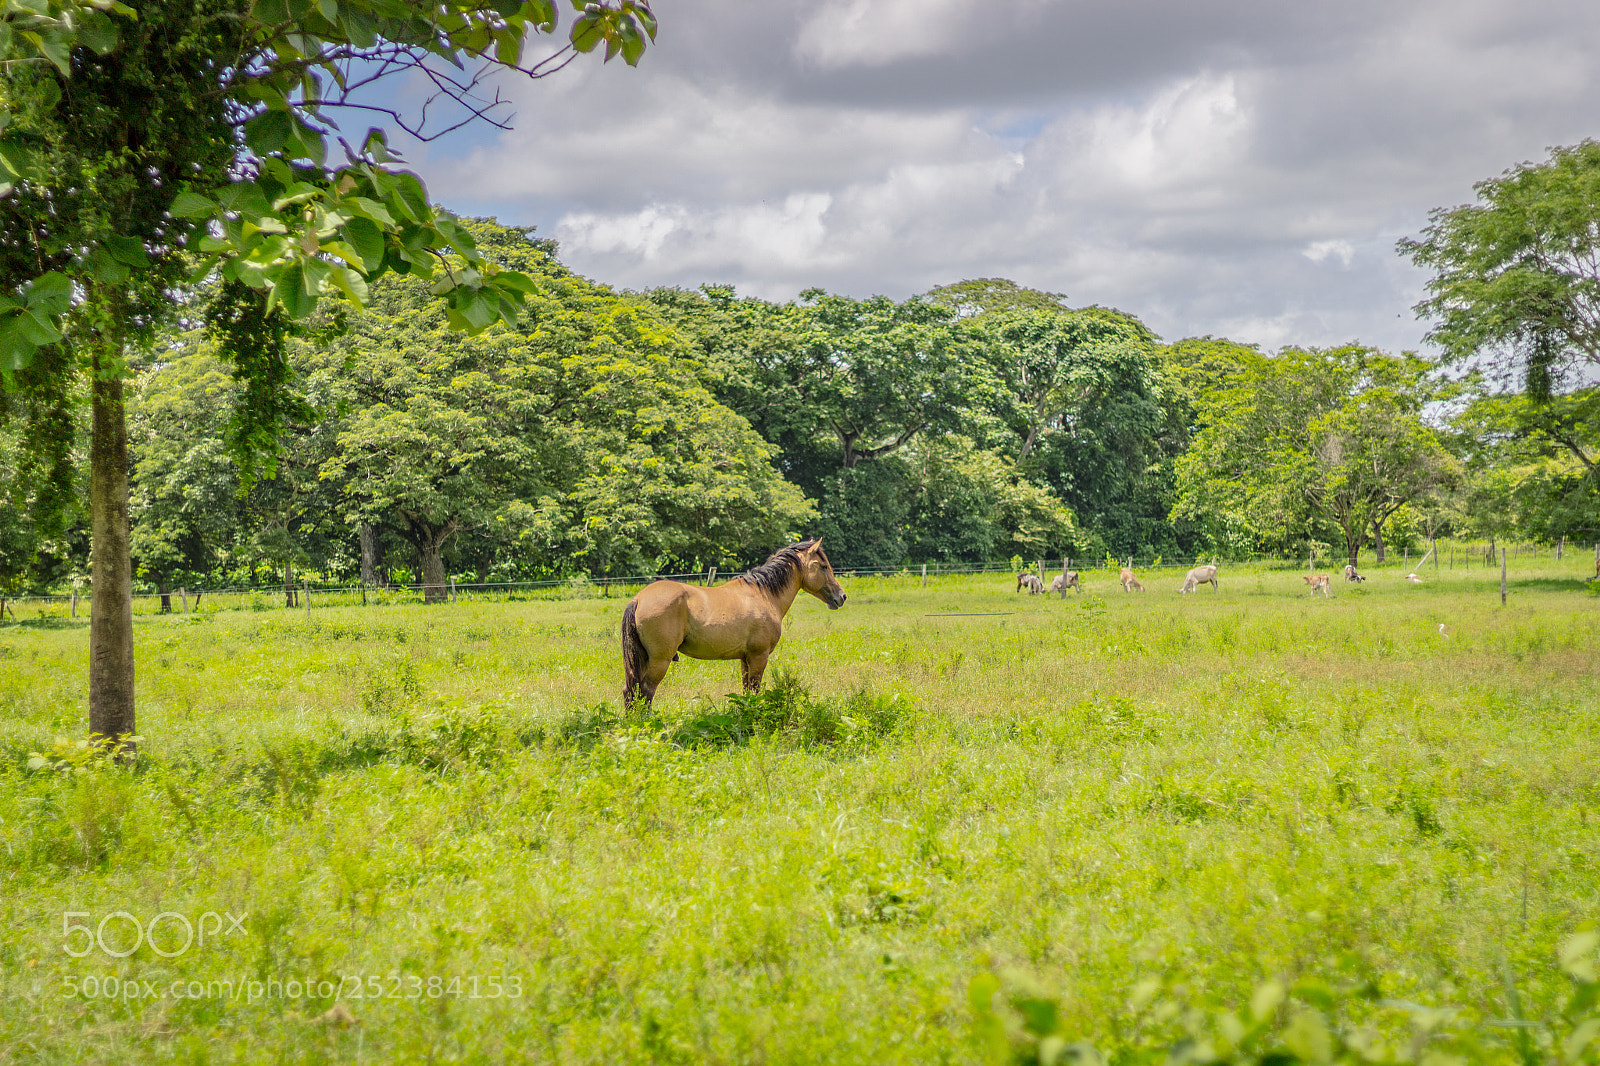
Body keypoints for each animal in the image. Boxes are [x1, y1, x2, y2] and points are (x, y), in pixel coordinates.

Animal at [621, 539, 846, 707]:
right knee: (646, 691)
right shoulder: (758, 657)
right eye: (824, 567)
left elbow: (746, 692)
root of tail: (638, 599)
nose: (841, 597)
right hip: (660, 660)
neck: (764, 594)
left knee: (631, 691)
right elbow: (754, 690)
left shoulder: (745, 659)